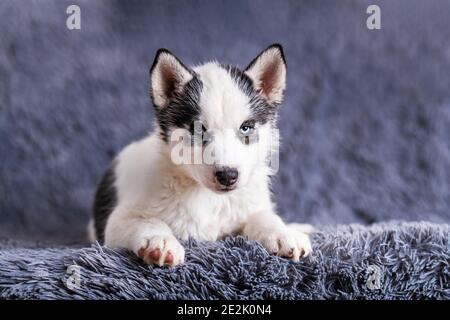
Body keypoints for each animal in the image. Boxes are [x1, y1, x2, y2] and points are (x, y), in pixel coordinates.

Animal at [89, 43, 312, 266]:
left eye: (246, 128)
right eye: (198, 130)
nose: (227, 176)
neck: (208, 197)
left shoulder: (249, 204)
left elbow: (263, 216)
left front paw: (282, 233)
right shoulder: (118, 221)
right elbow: (148, 222)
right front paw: (160, 241)